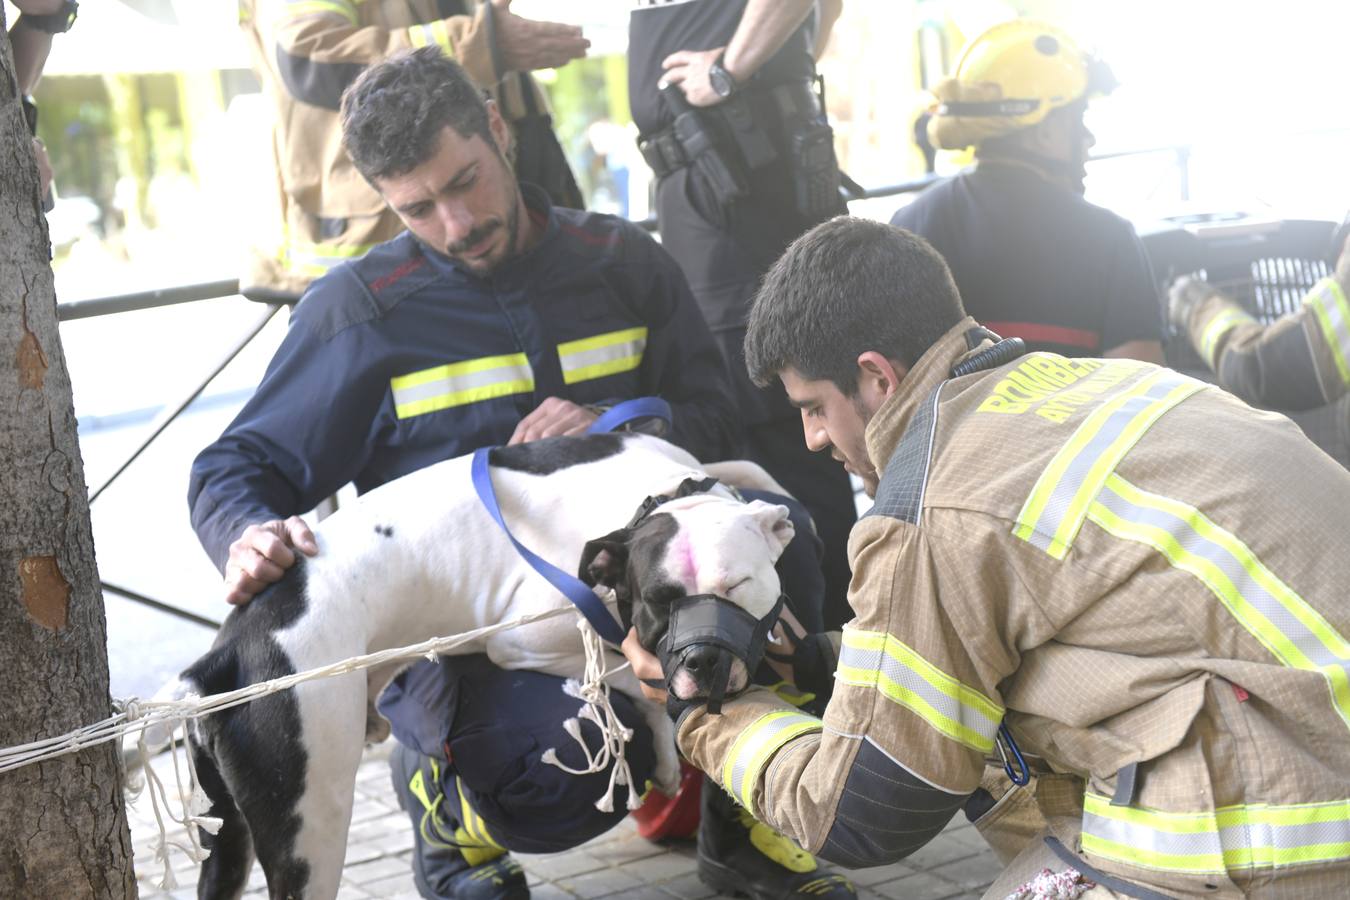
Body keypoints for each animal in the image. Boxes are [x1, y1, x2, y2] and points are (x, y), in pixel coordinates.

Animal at [150, 431, 788, 895]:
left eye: (738, 585)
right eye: (659, 603)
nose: (703, 658)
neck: (642, 500)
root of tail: (226, 652)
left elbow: (753, 467)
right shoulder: (526, 641)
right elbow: (625, 671)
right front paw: (664, 754)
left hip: (227, 839)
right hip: (310, 825)